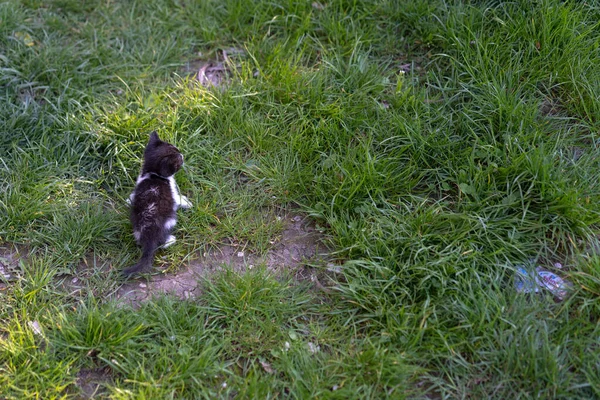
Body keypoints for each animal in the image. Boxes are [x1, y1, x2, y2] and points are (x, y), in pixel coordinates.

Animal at [123, 131, 193, 276]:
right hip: (170, 220)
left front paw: (127, 201)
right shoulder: (173, 193)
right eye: (179, 159)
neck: (153, 174)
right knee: (162, 242)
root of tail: (149, 234)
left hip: (137, 230)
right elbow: (179, 198)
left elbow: (132, 196)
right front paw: (187, 203)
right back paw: (171, 239)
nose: (182, 155)